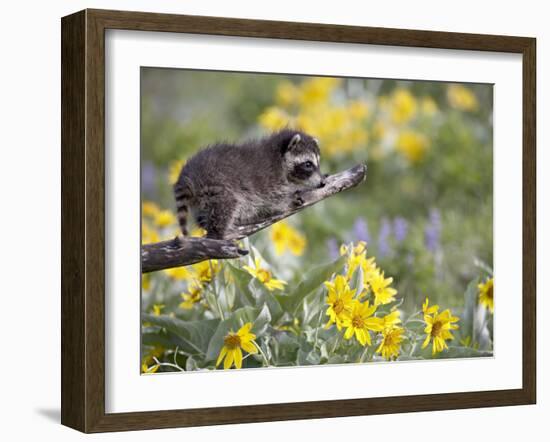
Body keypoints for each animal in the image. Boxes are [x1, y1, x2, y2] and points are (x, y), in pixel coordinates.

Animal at [175, 129, 326, 240]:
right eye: (308, 164)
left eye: (318, 163)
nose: (322, 183)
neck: (279, 157)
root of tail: (189, 173)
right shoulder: (270, 181)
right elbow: (275, 202)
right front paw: (290, 198)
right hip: (216, 184)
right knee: (227, 205)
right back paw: (218, 233)